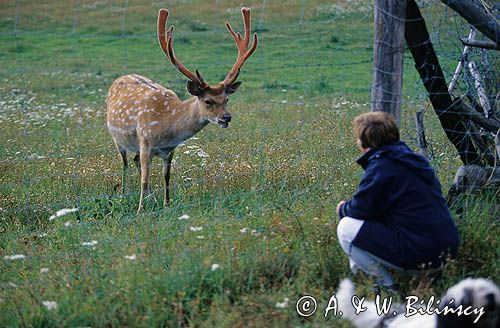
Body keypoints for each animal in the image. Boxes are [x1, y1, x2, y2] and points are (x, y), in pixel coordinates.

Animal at [106, 7, 258, 214]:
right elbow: (144, 179)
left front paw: (166, 205)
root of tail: (119, 78)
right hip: (118, 138)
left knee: (135, 161)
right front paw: (139, 211)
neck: (167, 126)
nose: (227, 117)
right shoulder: (145, 141)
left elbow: (167, 177)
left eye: (226, 99)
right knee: (125, 164)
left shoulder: (170, 149)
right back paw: (124, 194)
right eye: (208, 101)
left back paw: (151, 198)